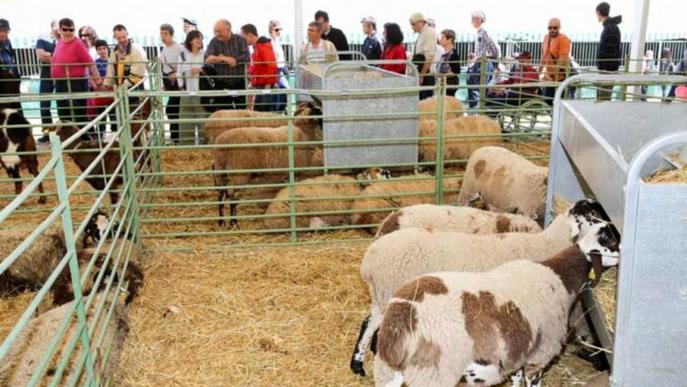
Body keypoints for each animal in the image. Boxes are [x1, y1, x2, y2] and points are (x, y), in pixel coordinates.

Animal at [352, 200, 612, 376]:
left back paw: (359, 363)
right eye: (596, 215)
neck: (546, 244)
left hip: (384, 296)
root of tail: (370, 258)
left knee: (370, 322)